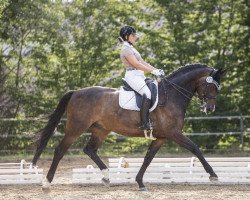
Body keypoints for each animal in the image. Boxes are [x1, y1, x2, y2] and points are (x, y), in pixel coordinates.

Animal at [32, 63, 226, 191]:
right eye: (210, 86)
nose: (210, 108)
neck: (171, 95)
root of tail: (76, 92)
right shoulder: (174, 133)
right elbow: (195, 148)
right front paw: (213, 175)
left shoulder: (161, 137)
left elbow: (148, 158)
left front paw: (139, 182)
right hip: (76, 128)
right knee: (60, 150)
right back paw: (47, 182)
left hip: (101, 129)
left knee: (90, 150)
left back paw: (106, 176)